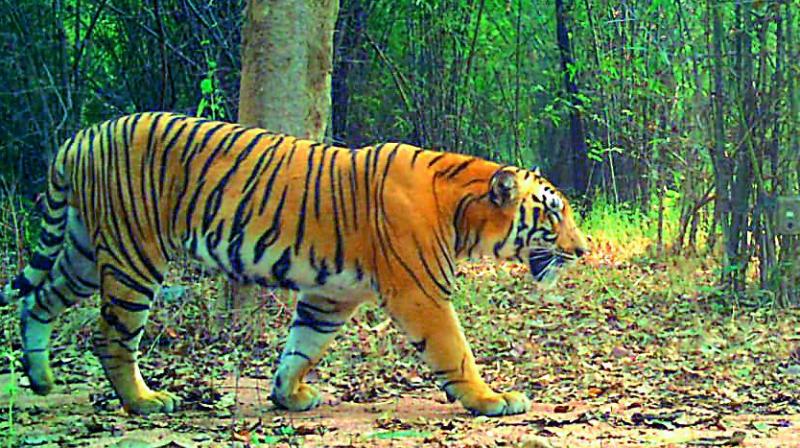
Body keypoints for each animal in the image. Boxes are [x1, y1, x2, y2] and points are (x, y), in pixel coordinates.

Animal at [0, 113, 588, 416]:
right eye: (553, 212)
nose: (582, 251)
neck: (463, 212)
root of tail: (82, 135)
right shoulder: (420, 292)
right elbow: (456, 351)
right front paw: (492, 399)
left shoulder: (331, 294)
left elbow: (301, 347)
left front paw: (289, 395)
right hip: (134, 255)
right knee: (110, 337)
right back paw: (145, 401)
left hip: (84, 251)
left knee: (38, 300)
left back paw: (40, 377)